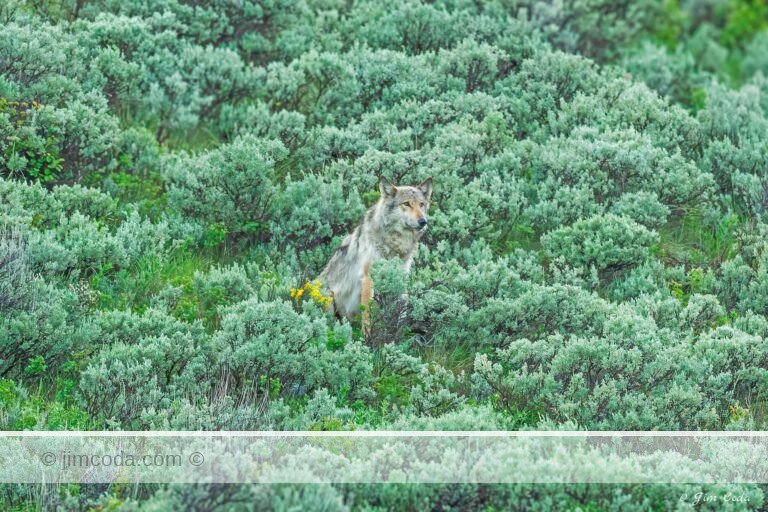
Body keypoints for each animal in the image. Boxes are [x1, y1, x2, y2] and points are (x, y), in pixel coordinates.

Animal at [318, 175, 433, 332]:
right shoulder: (368, 279)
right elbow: (368, 315)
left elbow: (402, 309)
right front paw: (368, 337)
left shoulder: (401, 276)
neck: (394, 244)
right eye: (407, 204)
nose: (423, 221)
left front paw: (401, 332)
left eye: (421, 205)